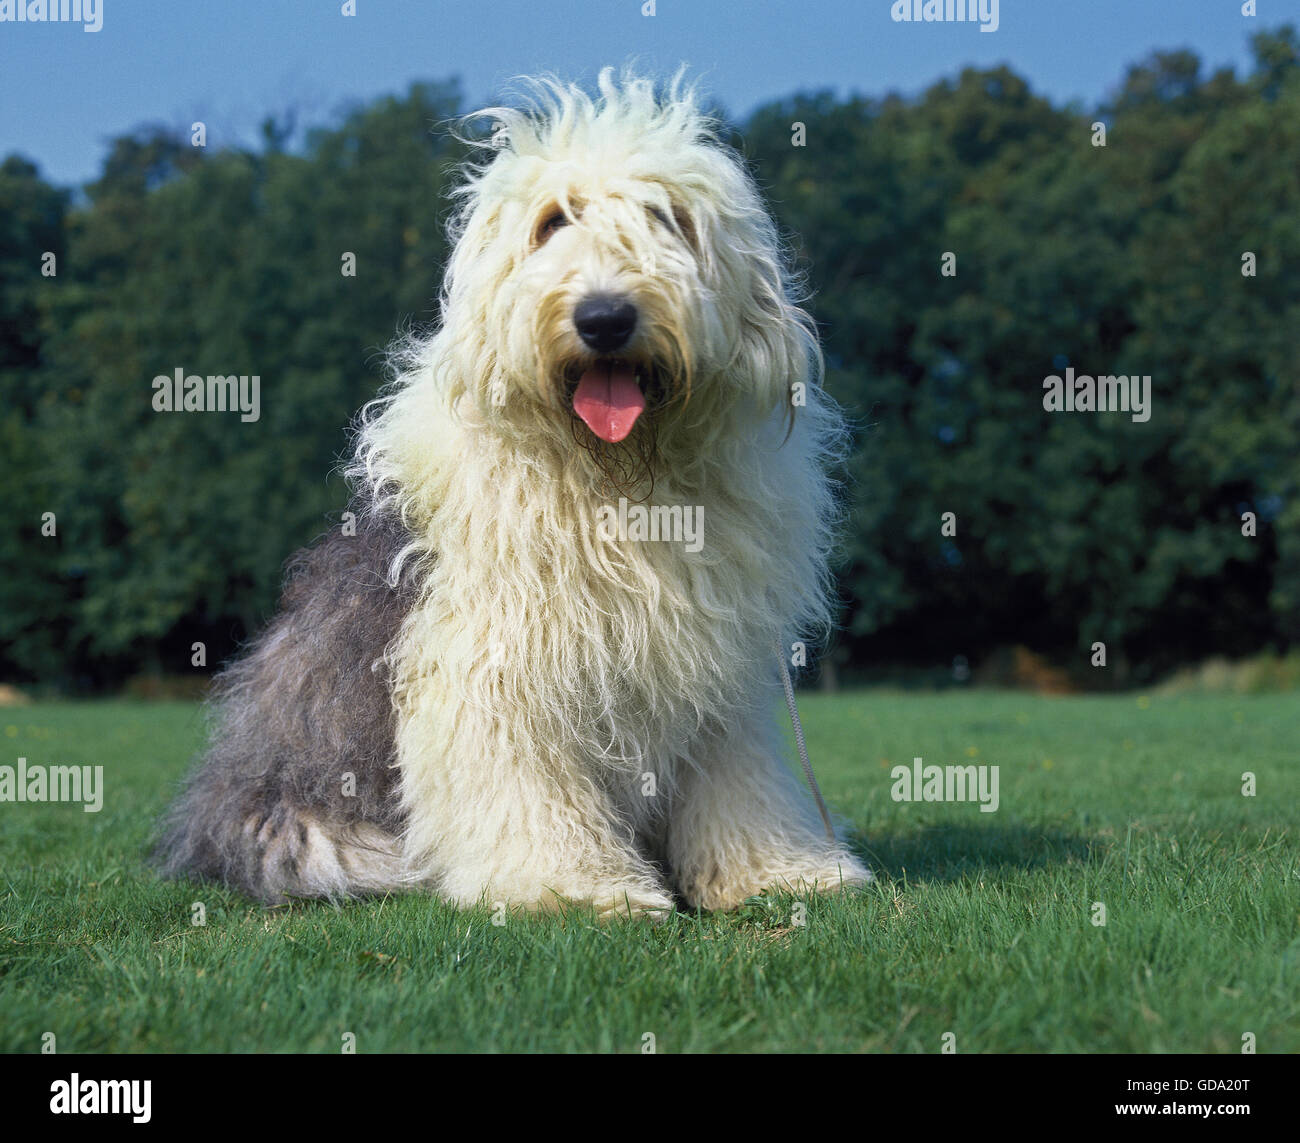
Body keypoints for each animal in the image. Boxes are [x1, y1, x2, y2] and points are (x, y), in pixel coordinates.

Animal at [159, 69, 873, 920]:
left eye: (665, 216)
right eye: (552, 221)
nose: (605, 317)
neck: (617, 481)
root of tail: (207, 812)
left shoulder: (715, 672)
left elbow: (736, 779)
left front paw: (776, 871)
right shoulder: (493, 657)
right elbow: (521, 777)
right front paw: (575, 885)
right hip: (316, 833)